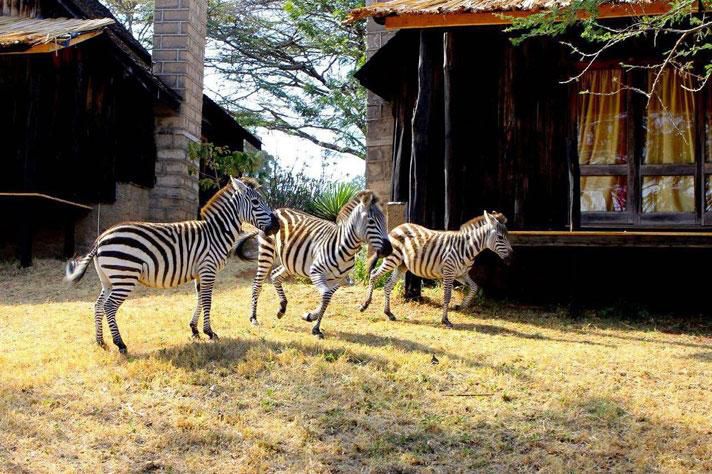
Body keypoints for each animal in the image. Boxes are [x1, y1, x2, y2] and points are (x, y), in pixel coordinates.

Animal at [64, 177, 279, 354]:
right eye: (256, 202)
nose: (277, 225)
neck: (215, 233)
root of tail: (100, 239)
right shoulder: (208, 269)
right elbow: (207, 300)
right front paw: (209, 332)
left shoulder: (200, 272)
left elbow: (199, 299)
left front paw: (194, 330)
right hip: (125, 277)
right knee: (109, 307)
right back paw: (120, 344)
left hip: (109, 280)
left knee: (98, 305)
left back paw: (100, 342)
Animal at [247, 190, 392, 338]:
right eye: (371, 221)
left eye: (385, 221)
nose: (389, 249)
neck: (345, 247)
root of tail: (277, 210)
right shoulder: (316, 272)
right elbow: (326, 296)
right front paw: (316, 328)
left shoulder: (340, 279)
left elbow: (327, 297)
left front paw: (311, 316)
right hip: (267, 252)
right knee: (257, 284)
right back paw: (253, 317)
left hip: (291, 262)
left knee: (275, 275)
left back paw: (282, 308)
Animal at [360, 211, 512, 328]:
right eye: (500, 237)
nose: (511, 257)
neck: (467, 248)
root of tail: (398, 227)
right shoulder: (449, 272)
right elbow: (447, 296)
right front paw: (445, 320)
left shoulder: (461, 274)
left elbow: (475, 288)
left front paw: (460, 306)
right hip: (392, 259)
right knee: (374, 274)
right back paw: (365, 305)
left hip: (402, 265)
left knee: (387, 285)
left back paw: (389, 313)